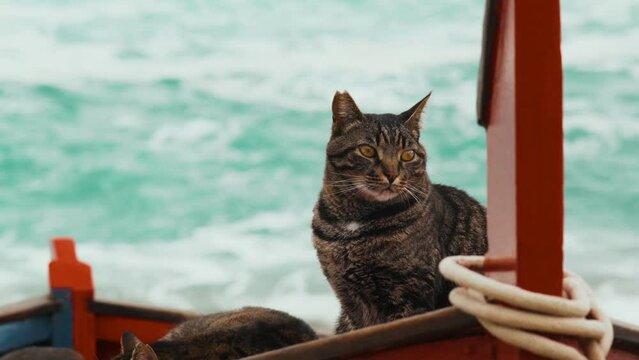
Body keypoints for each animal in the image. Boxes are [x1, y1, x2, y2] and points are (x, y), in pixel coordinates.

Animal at [312, 91, 488, 334]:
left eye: (408, 155)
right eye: (367, 150)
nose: (392, 174)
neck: (353, 223)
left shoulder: (408, 292)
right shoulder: (349, 298)